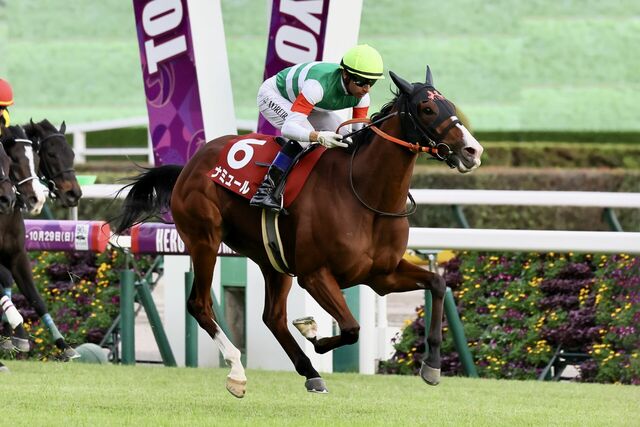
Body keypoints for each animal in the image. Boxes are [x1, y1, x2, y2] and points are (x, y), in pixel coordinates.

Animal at [0, 120, 82, 362]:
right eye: (51, 154)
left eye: (71, 153)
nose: (74, 194)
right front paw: (15, 329)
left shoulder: (17, 256)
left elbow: (36, 298)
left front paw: (64, 346)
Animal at [115, 67, 482, 398]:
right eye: (427, 109)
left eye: (449, 104)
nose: (472, 151)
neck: (365, 196)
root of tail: (189, 165)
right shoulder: (315, 274)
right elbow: (351, 328)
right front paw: (315, 337)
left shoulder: (382, 275)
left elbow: (437, 284)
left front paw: (432, 365)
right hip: (204, 240)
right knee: (200, 304)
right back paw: (237, 371)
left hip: (271, 258)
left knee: (272, 317)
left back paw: (310, 373)